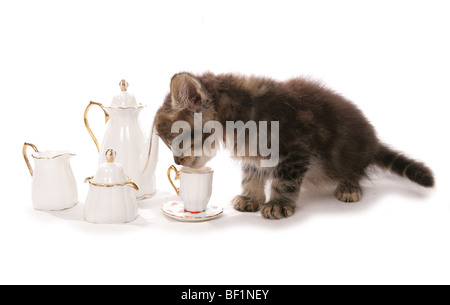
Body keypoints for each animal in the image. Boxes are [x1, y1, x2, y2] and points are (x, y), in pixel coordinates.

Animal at [154, 71, 432, 218]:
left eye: (174, 142)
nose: (176, 161)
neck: (239, 118)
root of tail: (373, 142)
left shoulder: (295, 148)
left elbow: (284, 180)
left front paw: (278, 204)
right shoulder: (253, 154)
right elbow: (251, 175)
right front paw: (250, 198)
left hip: (348, 151)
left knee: (353, 170)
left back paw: (349, 187)